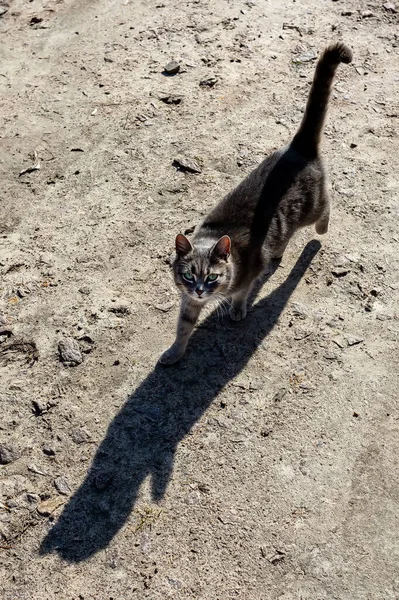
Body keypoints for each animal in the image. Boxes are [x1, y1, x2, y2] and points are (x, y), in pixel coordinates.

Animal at [159, 42, 354, 366]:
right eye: (188, 275)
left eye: (211, 277)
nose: (199, 290)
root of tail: (298, 146)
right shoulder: (187, 301)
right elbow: (183, 327)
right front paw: (175, 351)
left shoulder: (248, 271)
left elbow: (243, 292)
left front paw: (238, 309)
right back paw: (279, 251)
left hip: (310, 207)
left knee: (326, 206)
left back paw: (321, 230)